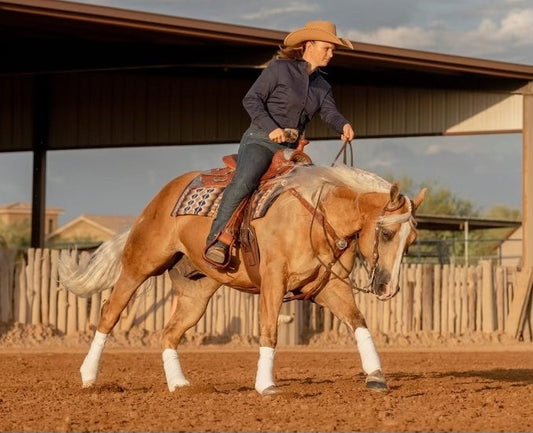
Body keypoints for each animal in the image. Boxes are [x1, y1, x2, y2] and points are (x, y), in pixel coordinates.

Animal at [59, 162, 424, 394]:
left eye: (412, 240)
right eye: (388, 233)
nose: (388, 288)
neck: (314, 214)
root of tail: (161, 196)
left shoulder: (329, 287)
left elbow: (358, 322)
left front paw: (376, 377)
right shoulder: (274, 281)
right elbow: (269, 331)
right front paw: (266, 385)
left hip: (196, 293)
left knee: (169, 333)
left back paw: (179, 385)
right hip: (139, 264)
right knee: (109, 314)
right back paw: (89, 377)